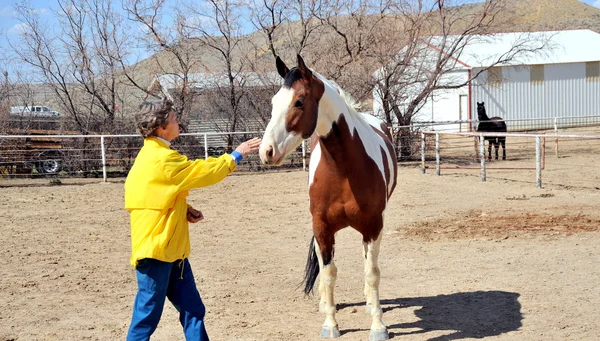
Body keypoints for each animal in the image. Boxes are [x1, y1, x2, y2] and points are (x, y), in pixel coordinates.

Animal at [258, 54, 396, 338]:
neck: (343, 170)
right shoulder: (322, 227)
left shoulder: (373, 227)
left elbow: (372, 272)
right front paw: (330, 324)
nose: (266, 151)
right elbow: (329, 272)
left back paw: (369, 303)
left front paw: (378, 325)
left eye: (299, 101)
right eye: (274, 102)